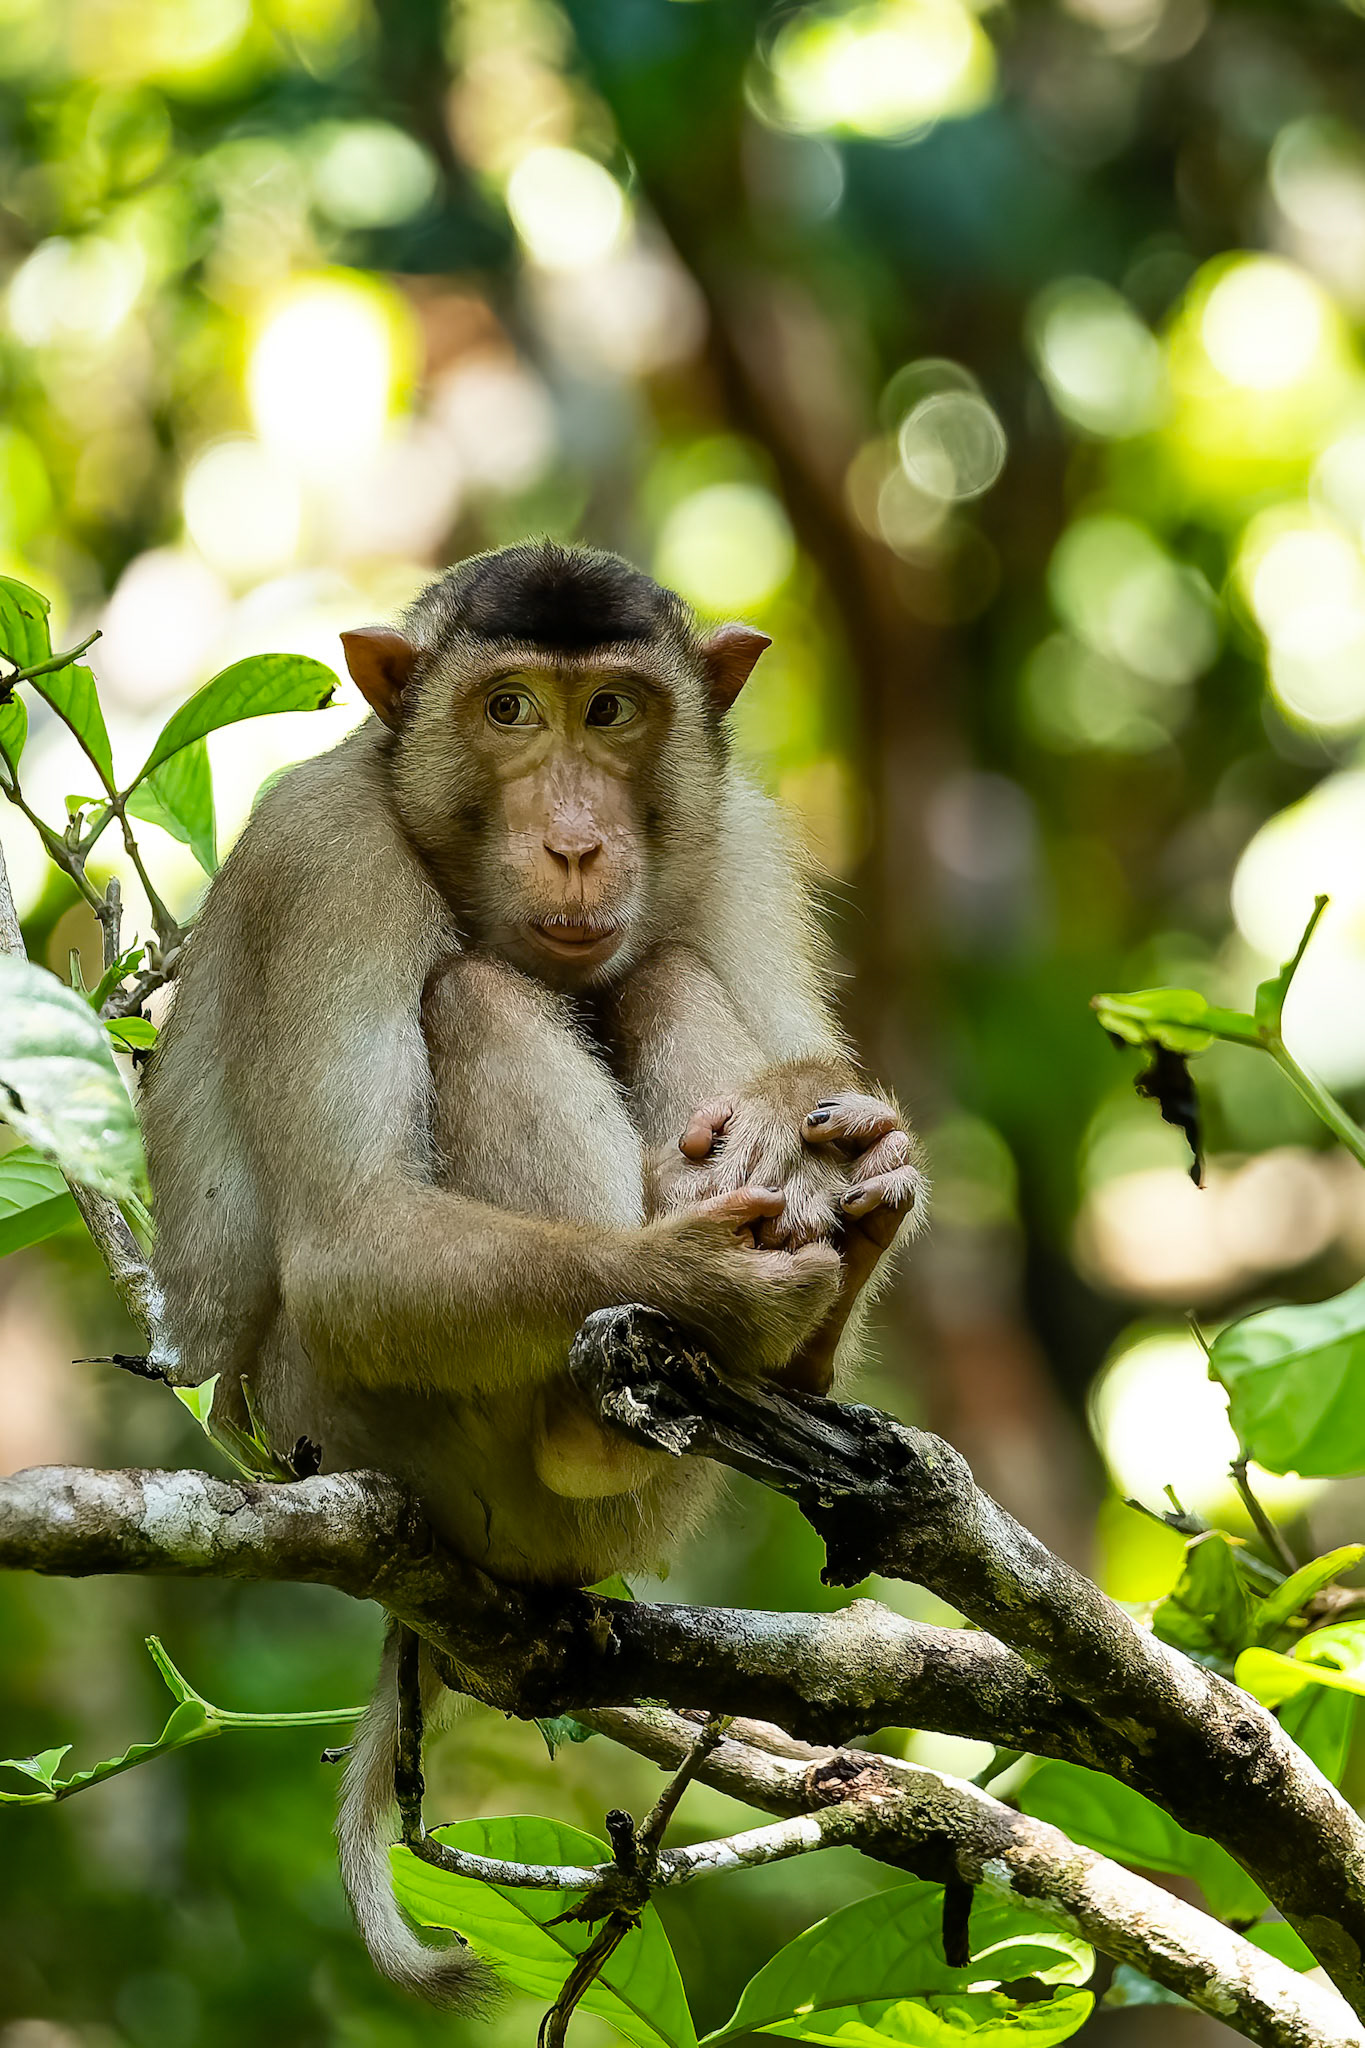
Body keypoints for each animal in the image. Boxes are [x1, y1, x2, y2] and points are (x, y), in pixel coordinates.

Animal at [138, 541, 925, 2011]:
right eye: (508, 710)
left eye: (611, 712)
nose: (574, 840)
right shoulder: (321, 861)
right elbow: (352, 1240)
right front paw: (706, 1276)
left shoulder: (741, 841)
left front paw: (848, 1158)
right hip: (389, 1440)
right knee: (474, 999)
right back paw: (607, 1402)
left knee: (660, 966)